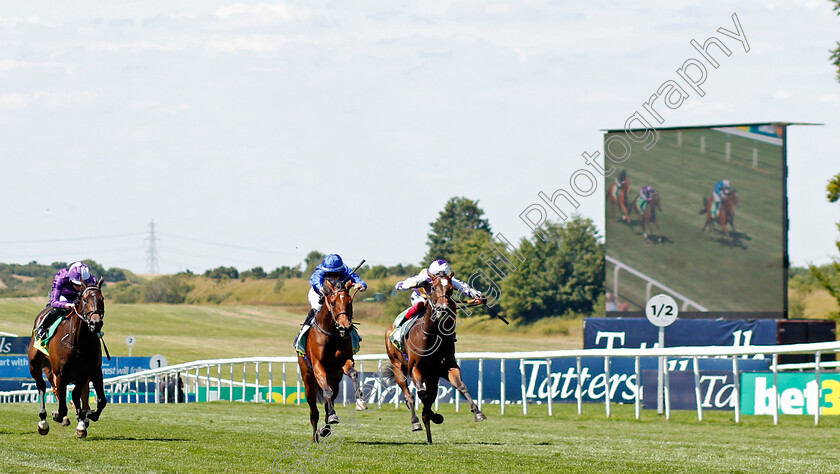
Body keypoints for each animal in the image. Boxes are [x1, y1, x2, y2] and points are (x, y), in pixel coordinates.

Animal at [26, 278, 106, 436]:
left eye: (102, 299)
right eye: (85, 300)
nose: (95, 323)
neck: (79, 341)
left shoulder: (90, 371)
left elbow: (99, 400)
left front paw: (87, 417)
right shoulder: (61, 374)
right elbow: (62, 405)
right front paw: (58, 415)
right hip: (35, 364)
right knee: (42, 386)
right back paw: (43, 421)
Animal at [386, 274, 486, 444]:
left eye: (451, 288)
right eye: (432, 287)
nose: (443, 309)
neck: (432, 335)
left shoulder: (448, 368)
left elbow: (461, 386)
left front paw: (477, 412)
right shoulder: (415, 368)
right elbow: (421, 395)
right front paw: (427, 416)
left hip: (431, 378)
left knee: (429, 396)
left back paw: (429, 430)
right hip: (397, 366)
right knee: (409, 395)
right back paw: (416, 421)